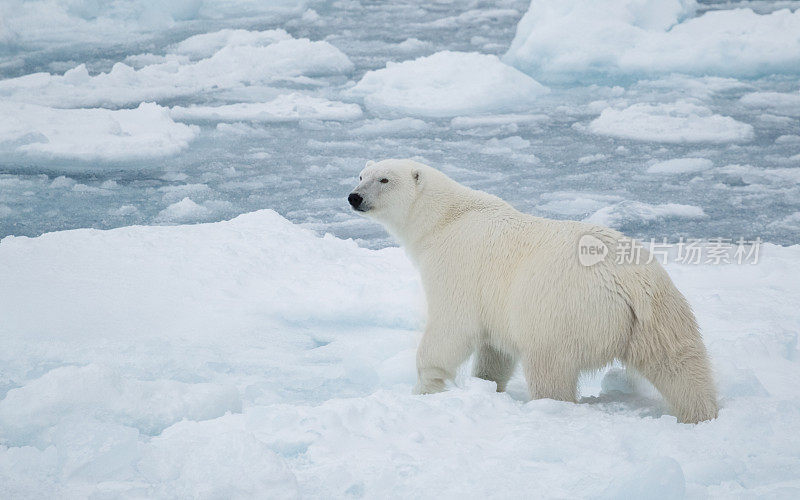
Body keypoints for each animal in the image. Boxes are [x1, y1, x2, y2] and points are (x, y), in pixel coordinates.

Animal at [348, 159, 720, 422]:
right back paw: (701, 414)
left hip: (560, 311)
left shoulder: (457, 267)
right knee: (681, 365)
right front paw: (487, 386)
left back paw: (550, 407)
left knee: (549, 368)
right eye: (361, 175)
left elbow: (451, 328)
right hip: (659, 310)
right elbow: (494, 352)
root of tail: (626, 280)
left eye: (384, 179)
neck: (446, 218)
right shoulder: (494, 300)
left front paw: (426, 388)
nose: (354, 197)